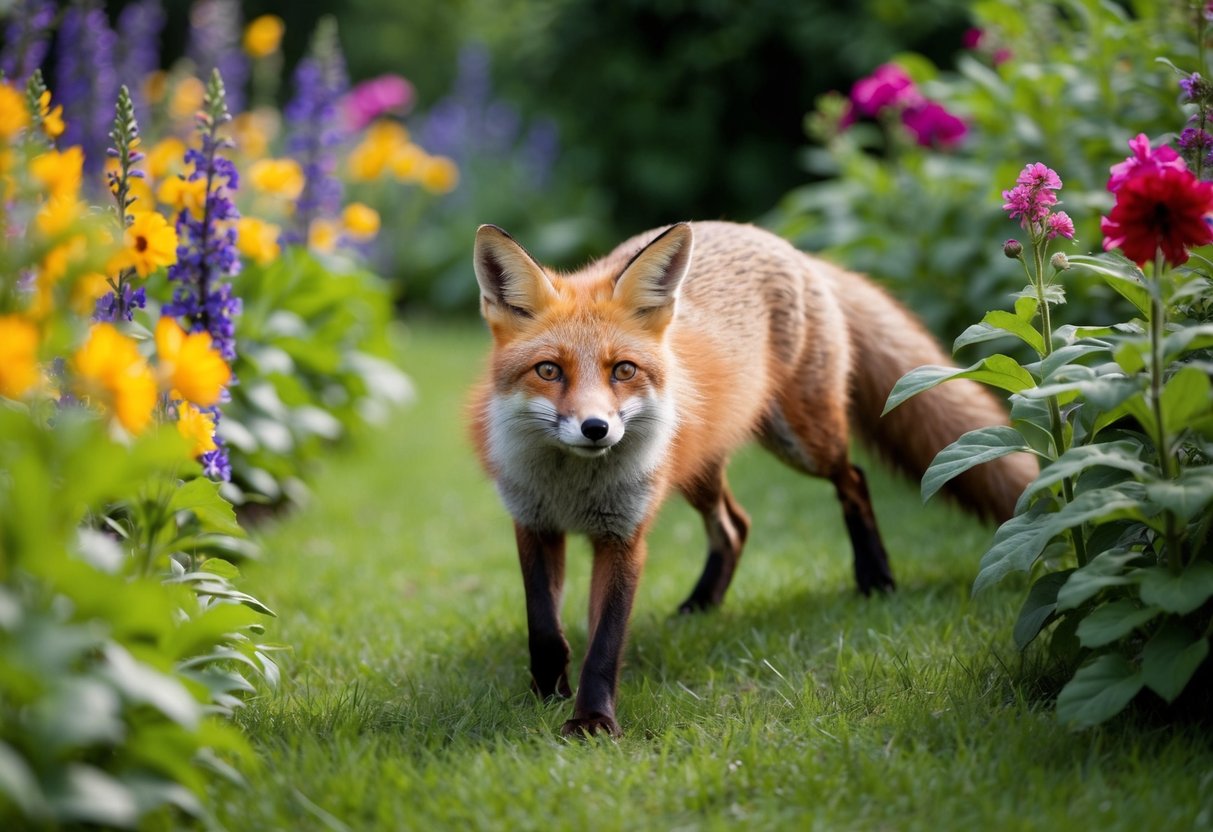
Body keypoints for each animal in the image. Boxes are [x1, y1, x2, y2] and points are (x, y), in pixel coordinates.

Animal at [469, 220, 1038, 737]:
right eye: (549, 371)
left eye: (623, 370)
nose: (595, 428)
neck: (573, 486)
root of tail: (787, 245)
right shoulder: (533, 521)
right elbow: (545, 628)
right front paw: (547, 694)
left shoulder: (624, 534)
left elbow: (605, 643)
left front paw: (591, 721)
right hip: (696, 469)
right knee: (735, 525)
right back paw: (700, 606)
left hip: (804, 441)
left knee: (852, 479)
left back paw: (875, 579)